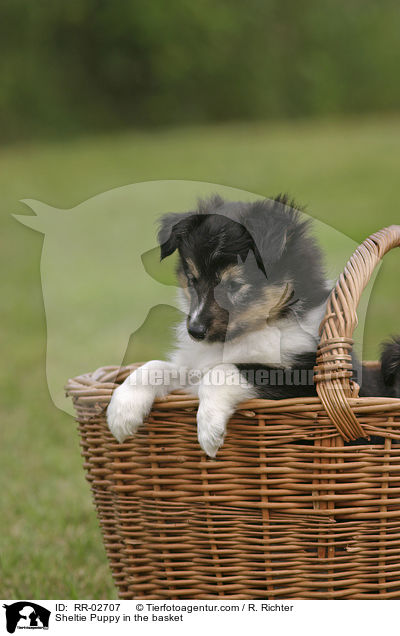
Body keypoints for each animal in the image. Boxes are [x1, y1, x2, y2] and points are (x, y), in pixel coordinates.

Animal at [106, 195, 400, 458]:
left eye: (234, 285)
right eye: (192, 279)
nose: (195, 332)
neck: (248, 333)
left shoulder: (302, 379)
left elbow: (226, 370)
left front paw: (209, 431)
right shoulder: (193, 366)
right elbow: (154, 366)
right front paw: (121, 413)